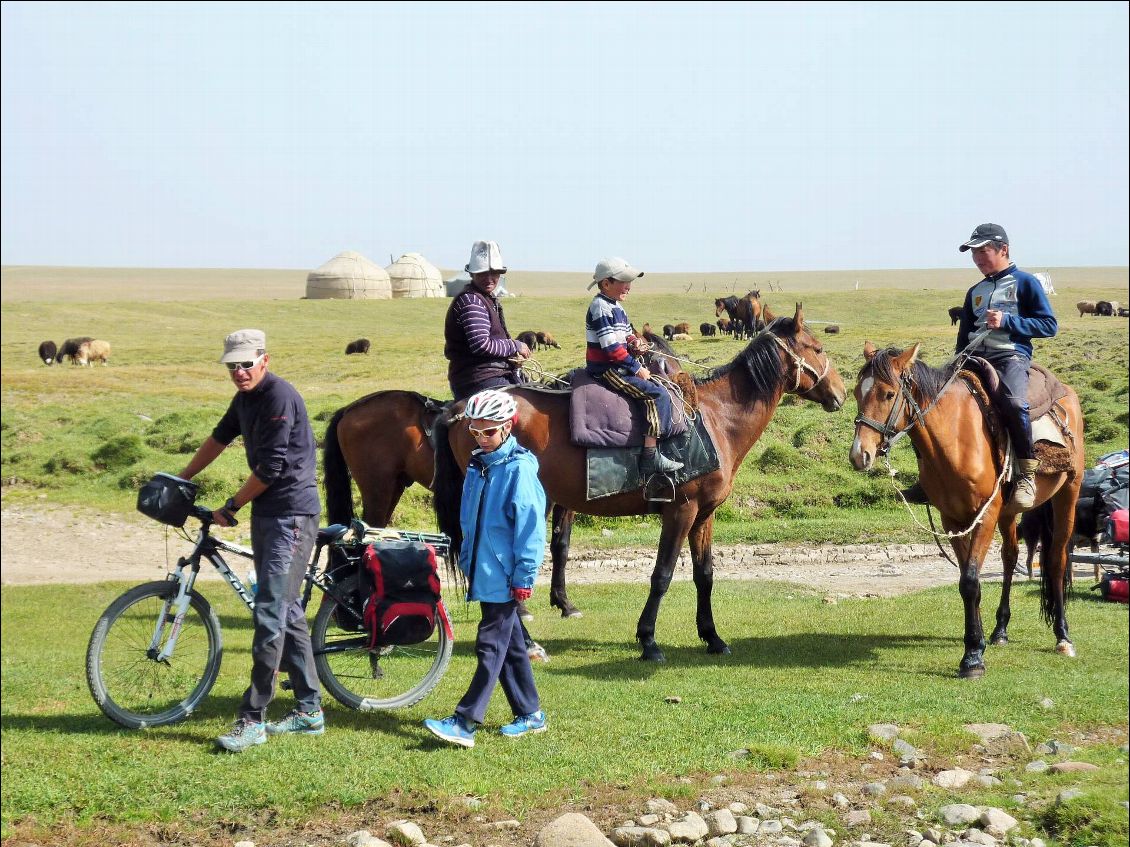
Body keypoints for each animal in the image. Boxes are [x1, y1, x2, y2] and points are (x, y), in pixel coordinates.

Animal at [431, 304, 849, 664]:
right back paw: (529, 643)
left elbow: (705, 575)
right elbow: (662, 575)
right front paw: (648, 640)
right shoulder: (681, 512)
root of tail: (462, 409)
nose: (841, 393)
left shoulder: (705, 516)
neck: (717, 419)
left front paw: (712, 637)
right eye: (817, 348)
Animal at [849, 341, 1084, 682]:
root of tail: (1065, 391)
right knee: (1010, 557)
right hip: (1009, 511)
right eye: (857, 391)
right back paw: (1000, 630)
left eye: (888, 394)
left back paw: (1063, 637)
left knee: (1056, 559)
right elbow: (966, 582)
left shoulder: (984, 515)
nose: (859, 455)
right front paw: (977, 641)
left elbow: (971, 581)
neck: (956, 438)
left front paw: (972, 658)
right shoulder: (953, 519)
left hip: (1068, 493)